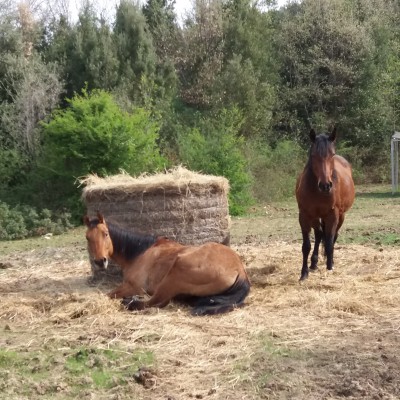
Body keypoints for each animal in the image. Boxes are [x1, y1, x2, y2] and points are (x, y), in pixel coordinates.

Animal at [83, 212, 250, 316]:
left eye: (105, 234)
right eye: (87, 238)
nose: (100, 261)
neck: (140, 252)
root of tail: (239, 270)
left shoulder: (135, 286)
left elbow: (108, 295)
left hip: (173, 274)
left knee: (154, 302)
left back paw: (130, 302)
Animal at [296, 126, 354, 280]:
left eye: (331, 155)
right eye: (314, 155)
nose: (325, 185)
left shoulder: (332, 215)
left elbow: (329, 243)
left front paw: (329, 267)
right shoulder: (304, 216)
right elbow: (306, 246)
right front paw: (304, 273)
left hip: (341, 216)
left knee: (332, 237)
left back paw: (329, 260)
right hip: (315, 217)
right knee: (319, 234)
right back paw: (314, 263)